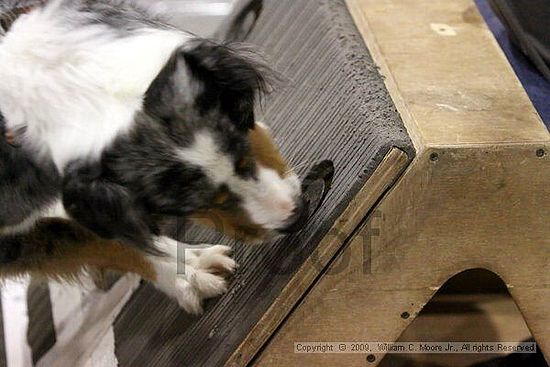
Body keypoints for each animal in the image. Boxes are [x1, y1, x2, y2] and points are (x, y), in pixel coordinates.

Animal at [0, 0, 310, 316]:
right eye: (198, 205)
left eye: (243, 151)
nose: (296, 217)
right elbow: (114, 244)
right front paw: (187, 278)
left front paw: (190, 259)